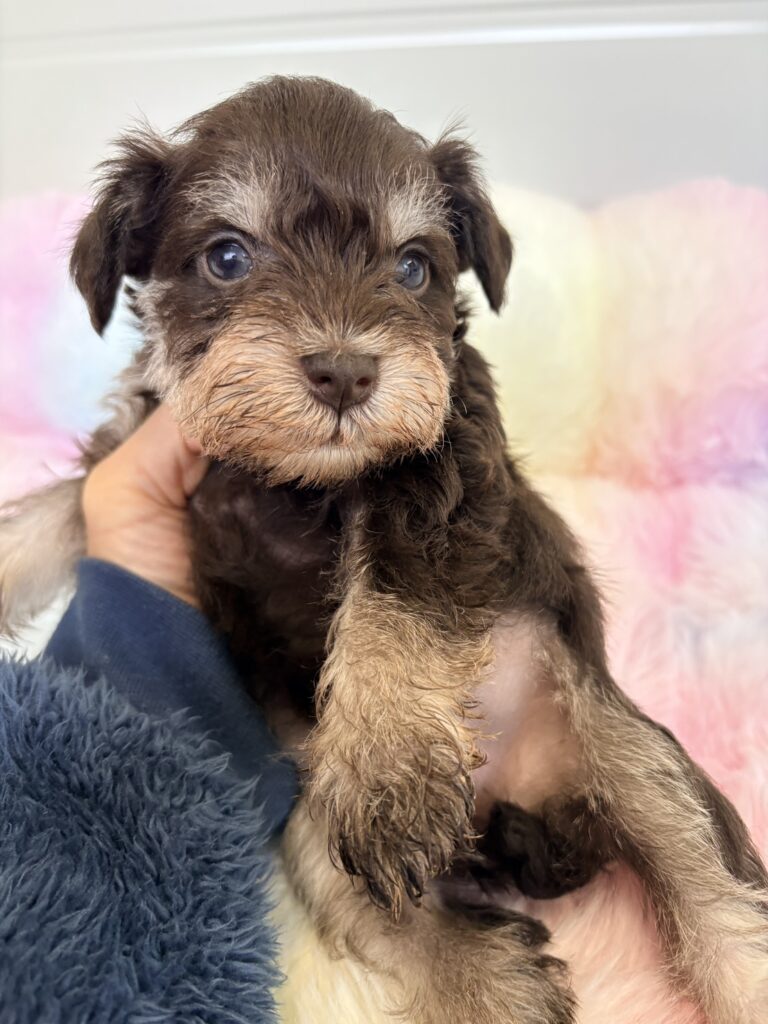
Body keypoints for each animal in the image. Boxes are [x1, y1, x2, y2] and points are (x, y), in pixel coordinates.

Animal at [1, 76, 766, 1023]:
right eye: (227, 257)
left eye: (412, 267)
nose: (345, 372)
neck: (293, 480)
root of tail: (519, 805)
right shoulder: (136, 452)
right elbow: (51, 512)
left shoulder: (435, 467)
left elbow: (393, 600)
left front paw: (391, 768)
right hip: (315, 843)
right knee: (416, 926)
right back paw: (496, 980)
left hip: (634, 754)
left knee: (713, 892)